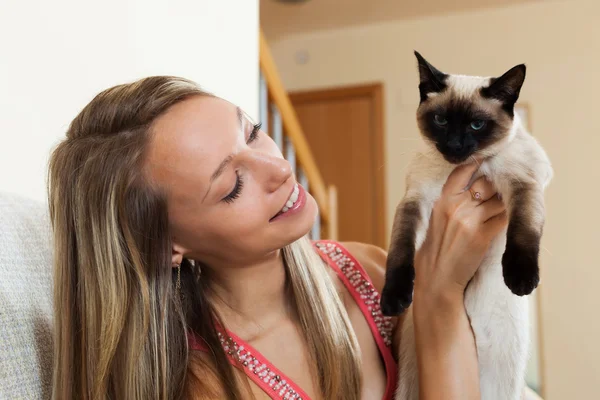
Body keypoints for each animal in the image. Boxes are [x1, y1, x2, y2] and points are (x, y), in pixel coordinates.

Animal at [384, 51, 552, 398]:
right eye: (441, 121)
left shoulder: (523, 183)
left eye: (476, 124)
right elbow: (399, 252)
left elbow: (523, 233)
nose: (454, 145)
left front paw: (520, 280)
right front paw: (393, 298)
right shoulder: (414, 201)